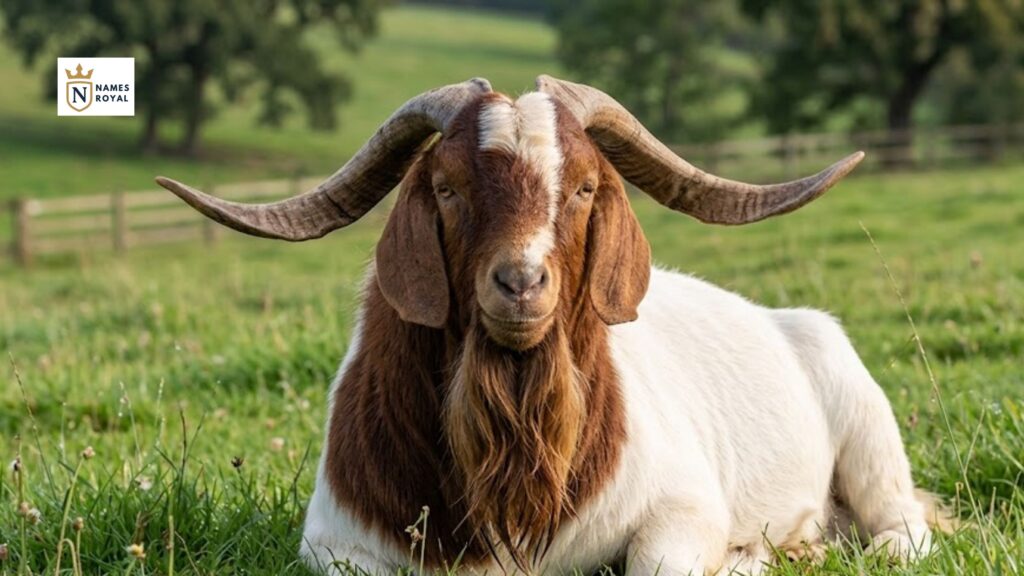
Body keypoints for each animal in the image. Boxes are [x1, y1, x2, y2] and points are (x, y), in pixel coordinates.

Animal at [157, 76, 941, 575]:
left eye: (586, 187)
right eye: (447, 187)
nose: (521, 283)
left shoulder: (685, 506)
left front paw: (749, 557)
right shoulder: (334, 541)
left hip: (868, 432)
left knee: (905, 525)